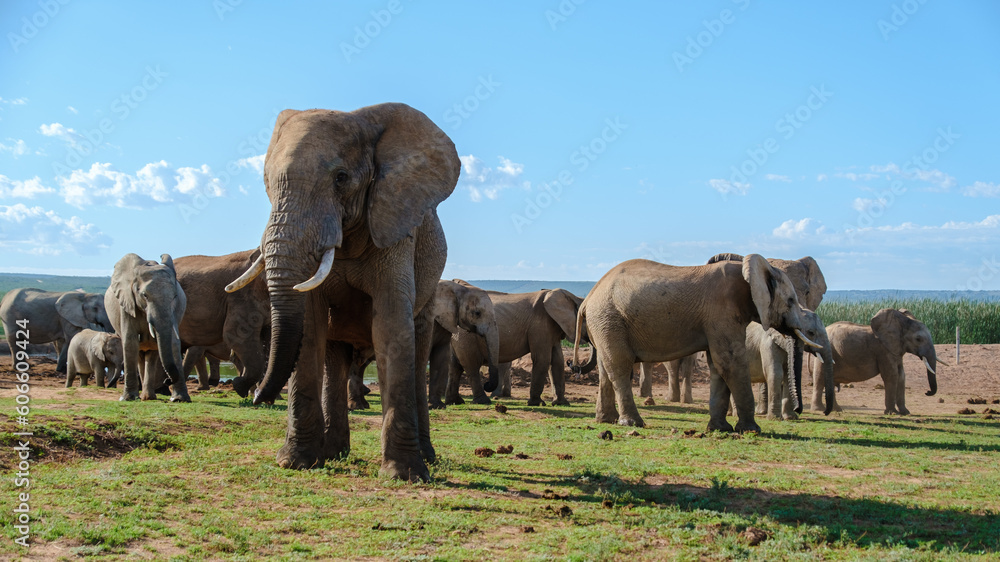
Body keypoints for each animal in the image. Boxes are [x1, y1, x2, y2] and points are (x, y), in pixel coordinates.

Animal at [105, 253, 190, 402]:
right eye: (144, 295)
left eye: (175, 296)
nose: (167, 381)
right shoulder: (127, 303)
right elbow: (130, 342)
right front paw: (128, 399)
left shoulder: (174, 311)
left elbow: (174, 343)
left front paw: (180, 399)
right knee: (139, 353)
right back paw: (144, 397)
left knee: (152, 354)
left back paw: (148, 397)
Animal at [224, 103, 460, 481]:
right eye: (267, 183)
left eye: (341, 178)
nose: (257, 395)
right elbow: (310, 326)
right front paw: (295, 462)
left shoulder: (394, 226)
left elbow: (392, 325)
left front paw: (403, 474)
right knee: (334, 357)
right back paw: (333, 454)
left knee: (418, 346)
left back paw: (427, 457)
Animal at [448, 287, 584, 406]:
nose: (572, 364)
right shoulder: (540, 326)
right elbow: (543, 359)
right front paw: (537, 404)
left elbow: (557, 361)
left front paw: (561, 404)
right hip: (466, 337)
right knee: (471, 365)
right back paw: (483, 401)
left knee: (455, 366)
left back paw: (456, 402)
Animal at [573, 254, 835, 431]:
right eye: (791, 300)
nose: (800, 411)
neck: (750, 270)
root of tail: (587, 299)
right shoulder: (722, 311)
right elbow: (729, 361)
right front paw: (751, 430)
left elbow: (718, 365)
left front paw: (721, 430)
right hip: (609, 318)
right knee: (620, 366)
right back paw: (633, 423)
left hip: (604, 323)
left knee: (606, 368)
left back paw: (606, 420)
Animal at [811, 308, 940, 415]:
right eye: (918, 339)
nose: (927, 392)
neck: (899, 322)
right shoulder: (883, 350)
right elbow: (892, 375)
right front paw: (892, 413)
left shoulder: (895, 351)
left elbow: (901, 376)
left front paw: (905, 413)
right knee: (820, 379)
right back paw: (819, 410)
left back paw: (837, 410)